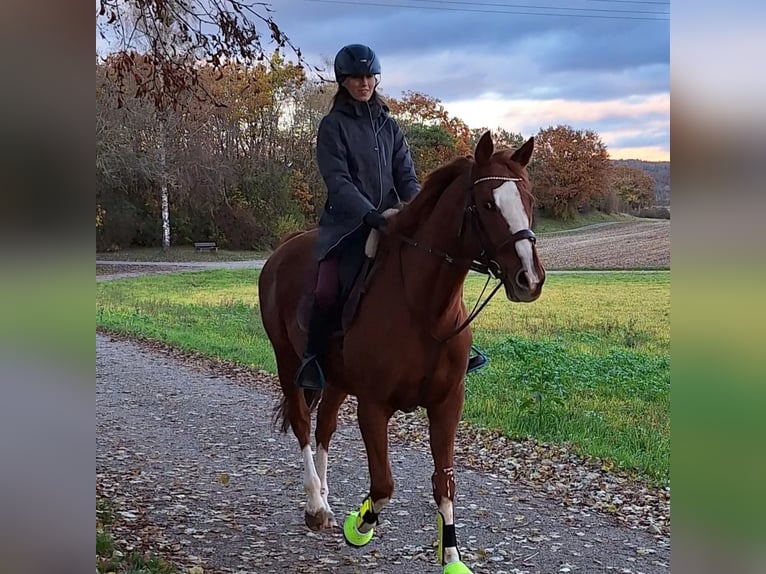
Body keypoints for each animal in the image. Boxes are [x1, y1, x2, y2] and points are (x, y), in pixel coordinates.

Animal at [258, 132, 544, 574]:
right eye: (487, 204)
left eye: (528, 200)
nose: (529, 279)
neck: (424, 309)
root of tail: (281, 252)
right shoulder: (374, 406)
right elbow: (384, 485)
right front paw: (358, 526)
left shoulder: (447, 404)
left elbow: (444, 483)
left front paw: (451, 557)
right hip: (288, 363)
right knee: (304, 424)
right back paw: (316, 506)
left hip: (336, 379)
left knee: (324, 428)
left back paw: (324, 498)